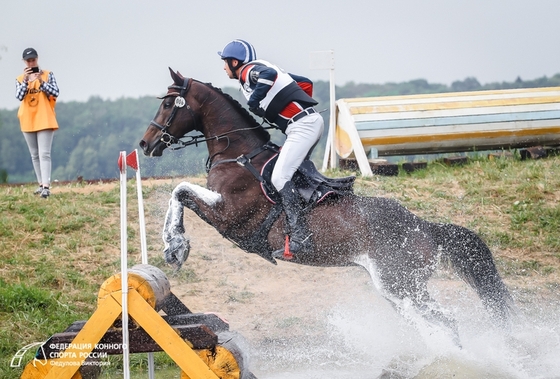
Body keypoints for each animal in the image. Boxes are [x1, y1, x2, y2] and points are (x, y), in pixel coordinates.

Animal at [138, 67, 516, 344]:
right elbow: (180, 192)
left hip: (400, 285)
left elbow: (180, 190)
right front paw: (172, 246)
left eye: (169, 104)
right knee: (433, 324)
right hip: (400, 292)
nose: (145, 144)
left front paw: (176, 246)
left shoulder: (229, 215)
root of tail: (426, 228)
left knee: (447, 323)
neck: (238, 153)